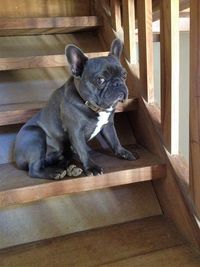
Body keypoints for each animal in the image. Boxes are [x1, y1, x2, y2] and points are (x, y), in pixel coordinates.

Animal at [14, 38, 139, 180]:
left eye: (124, 75)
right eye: (100, 79)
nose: (118, 83)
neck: (95, 107)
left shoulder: (108, 125)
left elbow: (114, 140)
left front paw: (123, 152)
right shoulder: (76, 131)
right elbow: (83, 150)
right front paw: (91, 167)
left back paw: (69, 168)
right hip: (36, 135)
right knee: (34, 169)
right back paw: (54, 172)